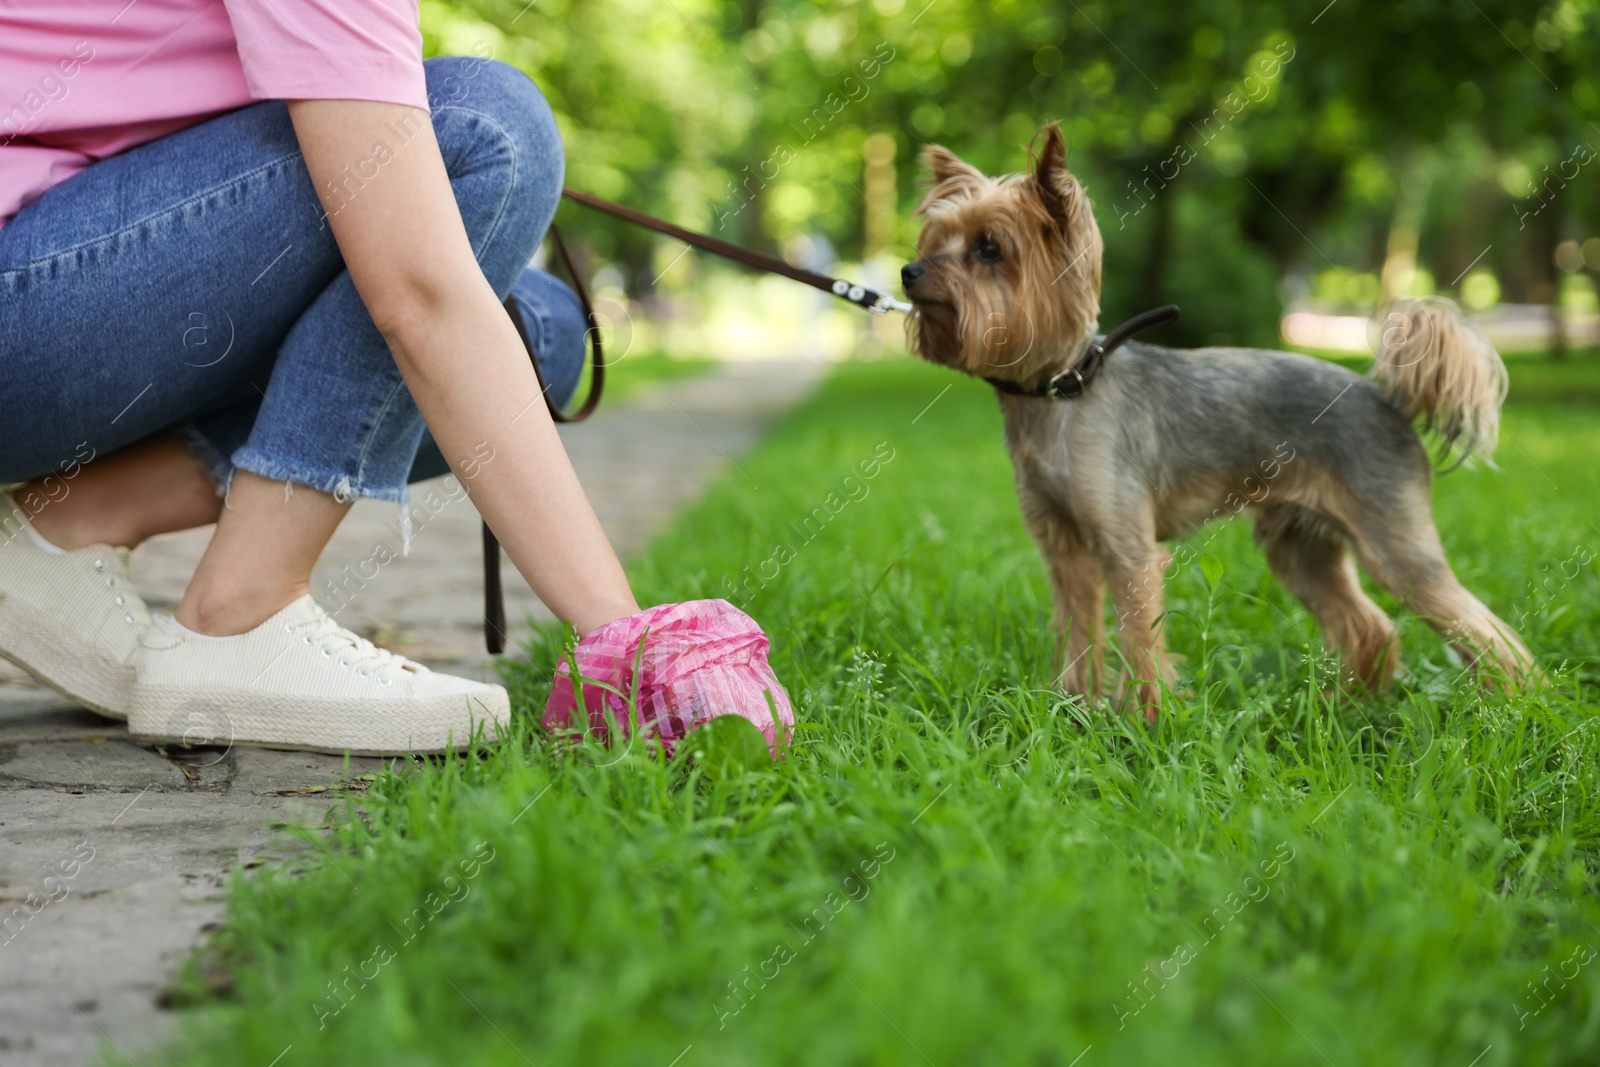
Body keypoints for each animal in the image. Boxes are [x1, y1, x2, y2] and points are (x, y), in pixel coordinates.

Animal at [902, 120, 1536, 713]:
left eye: (989, 249)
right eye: (935, 239)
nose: (909, 271)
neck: (1061, 391)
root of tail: (1387, 398)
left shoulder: (1129, 551)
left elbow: (1139, 642)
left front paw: (1142, 723)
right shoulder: (1064, 549)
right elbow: (1078, 633)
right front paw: (1073, 707)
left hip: (1394, 545)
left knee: (1488, 635)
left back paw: (1510, 708)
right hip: (1301, 547)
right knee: (1371, 627)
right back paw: (1349, 706)